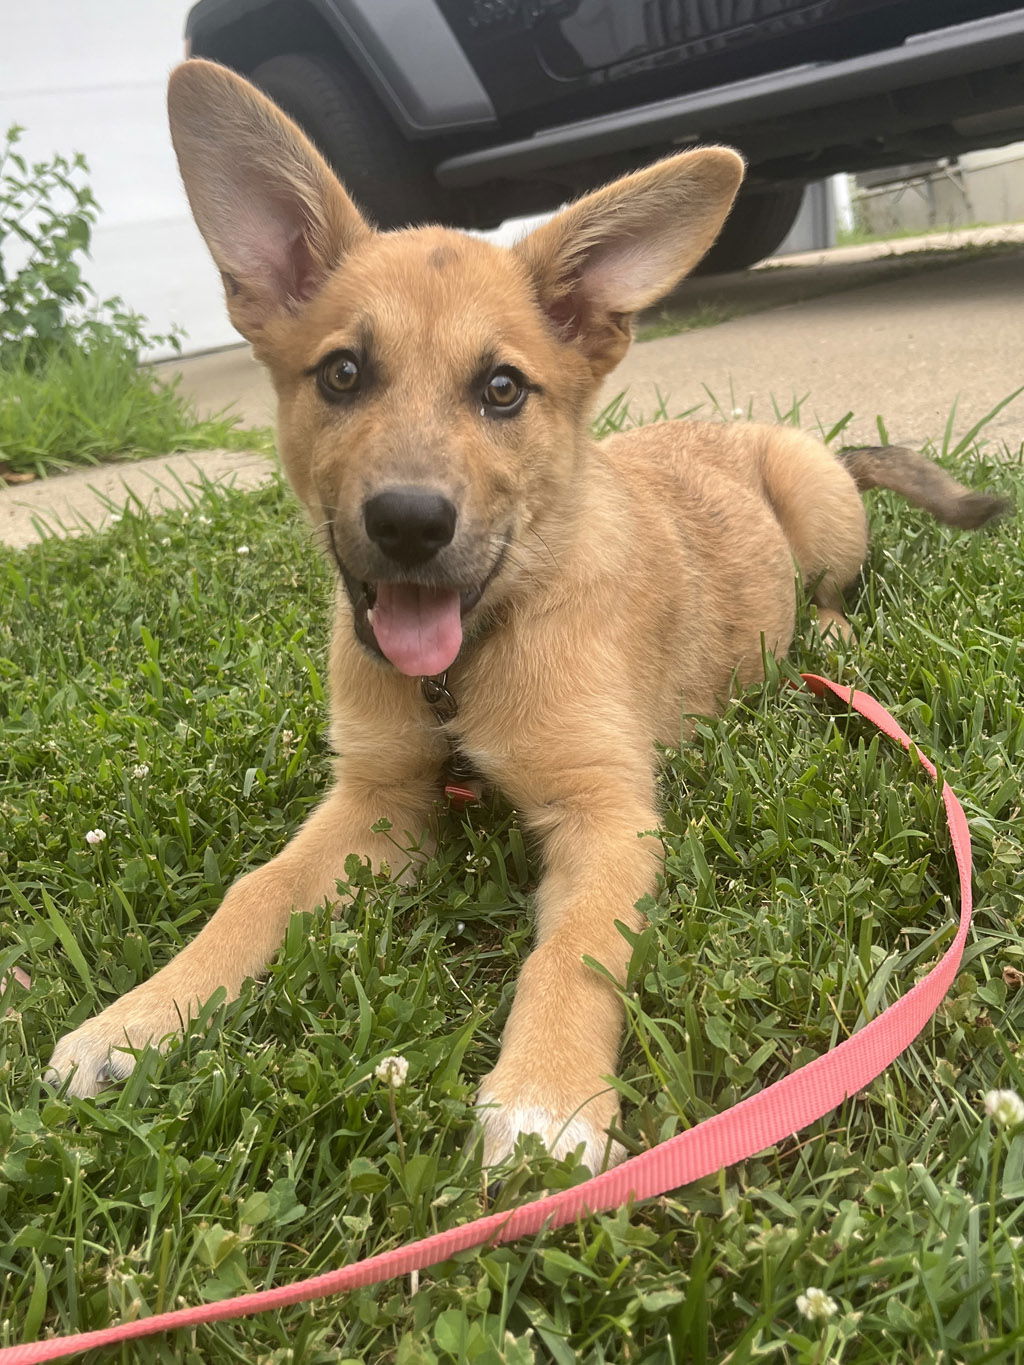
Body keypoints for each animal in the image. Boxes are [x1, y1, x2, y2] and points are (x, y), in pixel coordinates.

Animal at [46, 61, 1004, 1173]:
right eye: (341, 374)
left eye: (502, 388)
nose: (409, 524)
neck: (472, 661)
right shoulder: (375, 798)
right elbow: (257, 889)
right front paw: (141, 1017)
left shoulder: (608, 810)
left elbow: (576, 950)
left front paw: (547, 1100)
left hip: (815, 499)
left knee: (837, 588)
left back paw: (834, 635)